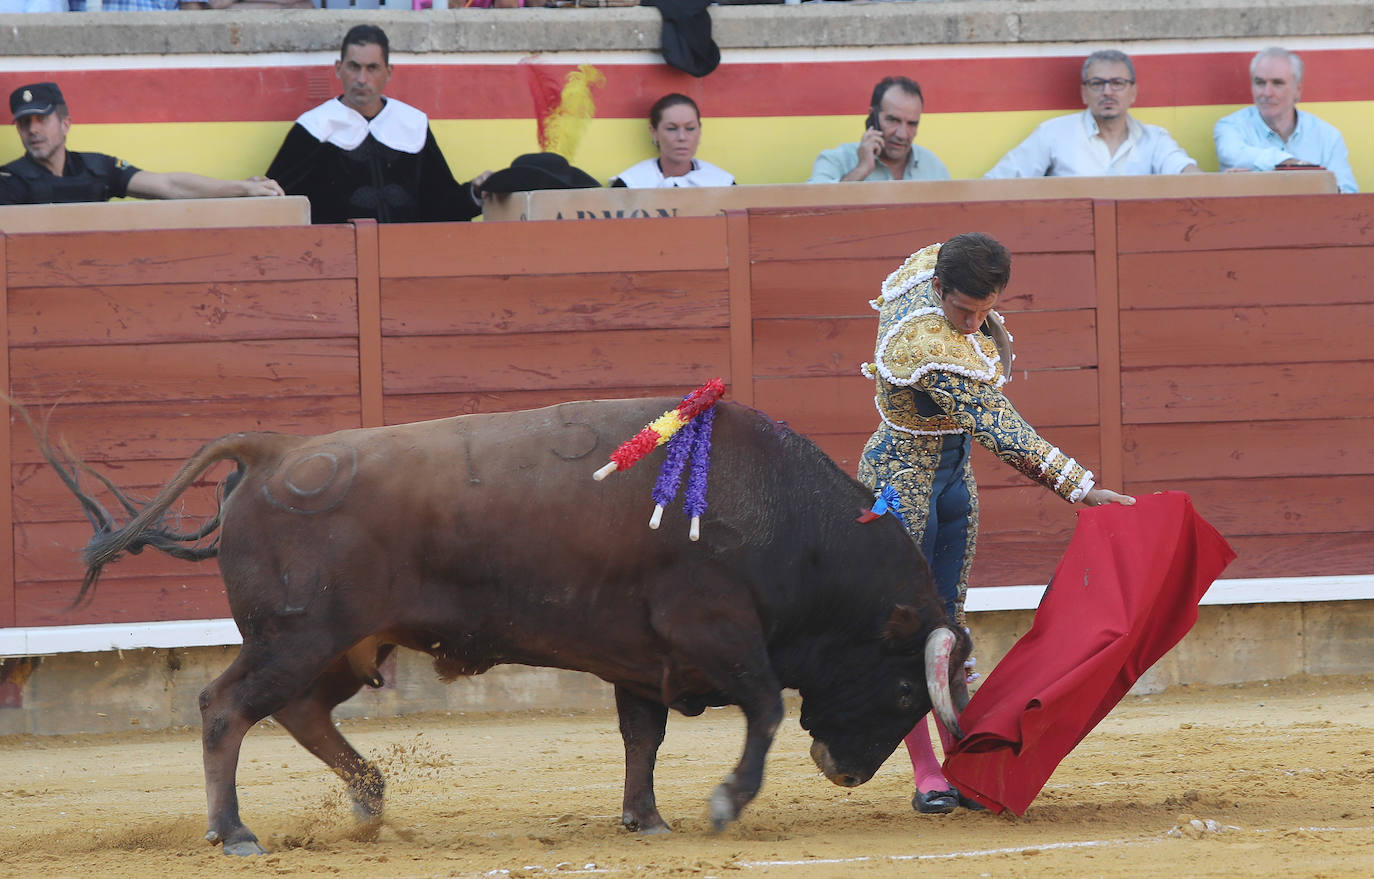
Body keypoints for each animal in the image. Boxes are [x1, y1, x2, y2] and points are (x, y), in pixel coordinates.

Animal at [34, 401, 978, 857]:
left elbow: (643, 735)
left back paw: (370, 799)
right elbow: (767, 709)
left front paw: (644, 818)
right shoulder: (716, 632)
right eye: (904, 681)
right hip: (294, 637)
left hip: (340, 644)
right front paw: (723, 802)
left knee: (300, 710)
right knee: (225, 707)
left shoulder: (643, 658)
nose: (845, 771)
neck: (778, 511)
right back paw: (234, 832)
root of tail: (275, 451)